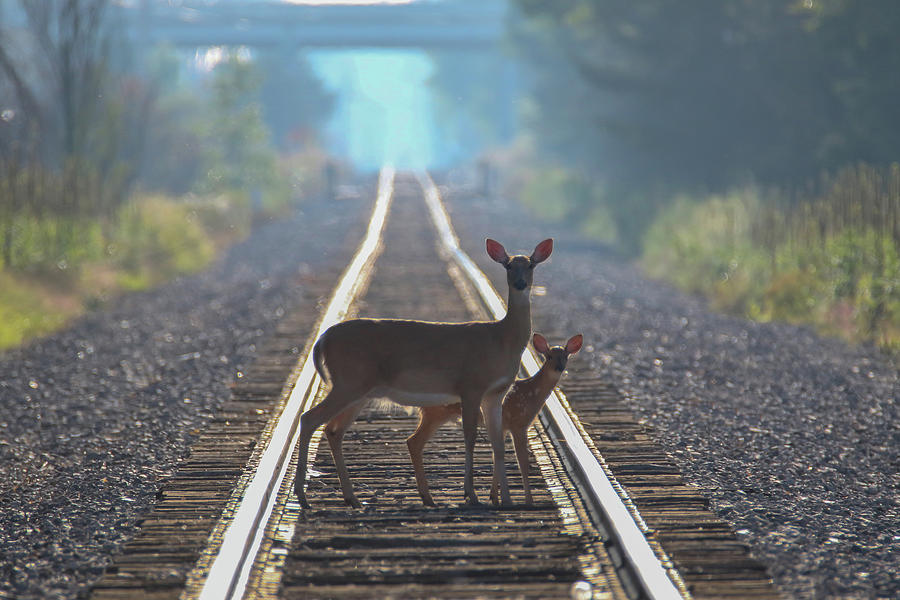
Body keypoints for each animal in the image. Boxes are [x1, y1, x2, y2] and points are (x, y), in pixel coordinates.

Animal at [294, 237, 556, 508]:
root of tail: (322, 340)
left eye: (531, 265)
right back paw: (303, 496)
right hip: (349, 381)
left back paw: (352, 498)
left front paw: (506, 500)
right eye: (508, 265)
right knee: (309, 418)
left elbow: (497, 443)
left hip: (359, 390)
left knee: (333, 430)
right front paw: (471, 495)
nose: (520, 283)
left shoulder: (495, 393)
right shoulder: (471, 385)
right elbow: (470, 436)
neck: (502, 339)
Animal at [406, 332, 584, 506]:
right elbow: (522, 461)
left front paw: (494, 497)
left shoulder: (504, 425)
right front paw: (529, 500)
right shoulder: (519, 424)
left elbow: (496, 454)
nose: (559, 368)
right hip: (436, 414)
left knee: (413, 441)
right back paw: (428, 497)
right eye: (548, 356)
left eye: (565, 356)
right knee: (414, 441)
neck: (531, 393)